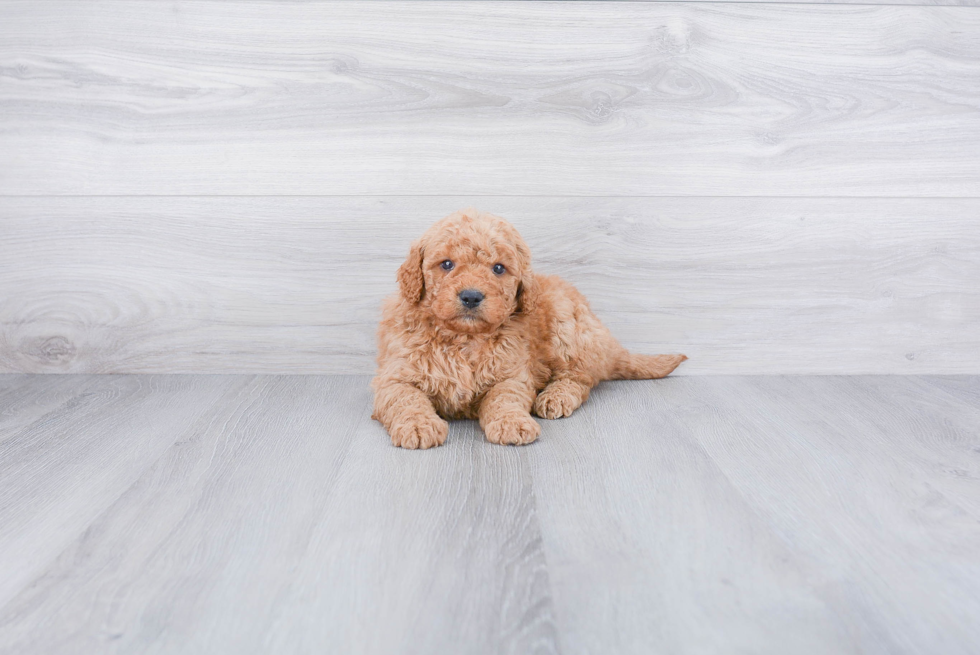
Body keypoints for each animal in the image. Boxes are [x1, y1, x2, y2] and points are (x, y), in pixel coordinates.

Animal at [372, 210, 684, 452]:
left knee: (580, 378)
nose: (471, 296)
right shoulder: (394, 378)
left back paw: (555, 397)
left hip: (567, 328)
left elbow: (505, 398)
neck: (464, 337)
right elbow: (407, 399)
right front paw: (418, 425)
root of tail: (607, 341)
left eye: (499, 268)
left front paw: (511, 422)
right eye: (446, 264)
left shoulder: (512, 375)